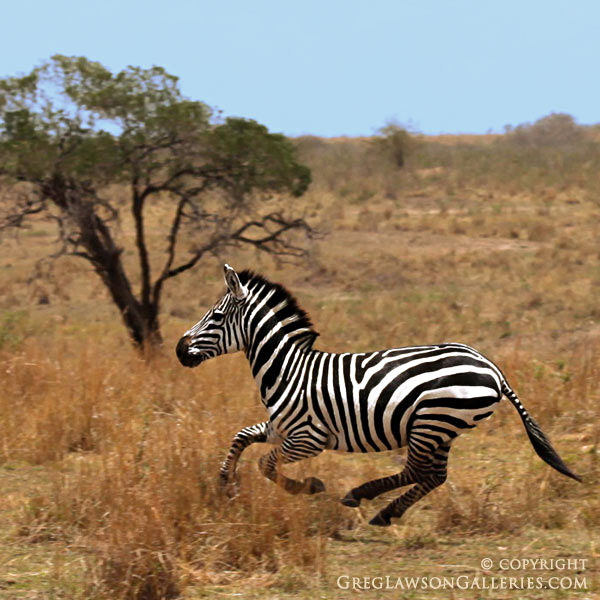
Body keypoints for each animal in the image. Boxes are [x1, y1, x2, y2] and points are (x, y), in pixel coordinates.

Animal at [175, 266, 580, 524]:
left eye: (215, 317)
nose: (179, 350)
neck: (288, 368)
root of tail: (493, 368)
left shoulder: (309, 438)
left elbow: (266, 464)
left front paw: (309, 486)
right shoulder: (281, 428)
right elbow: (241, 437)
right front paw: (225, 483)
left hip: (432, 421)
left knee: (418, 470)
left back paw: (362, 495)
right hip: (443, 427)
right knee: (434, 475)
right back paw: (387, 513)